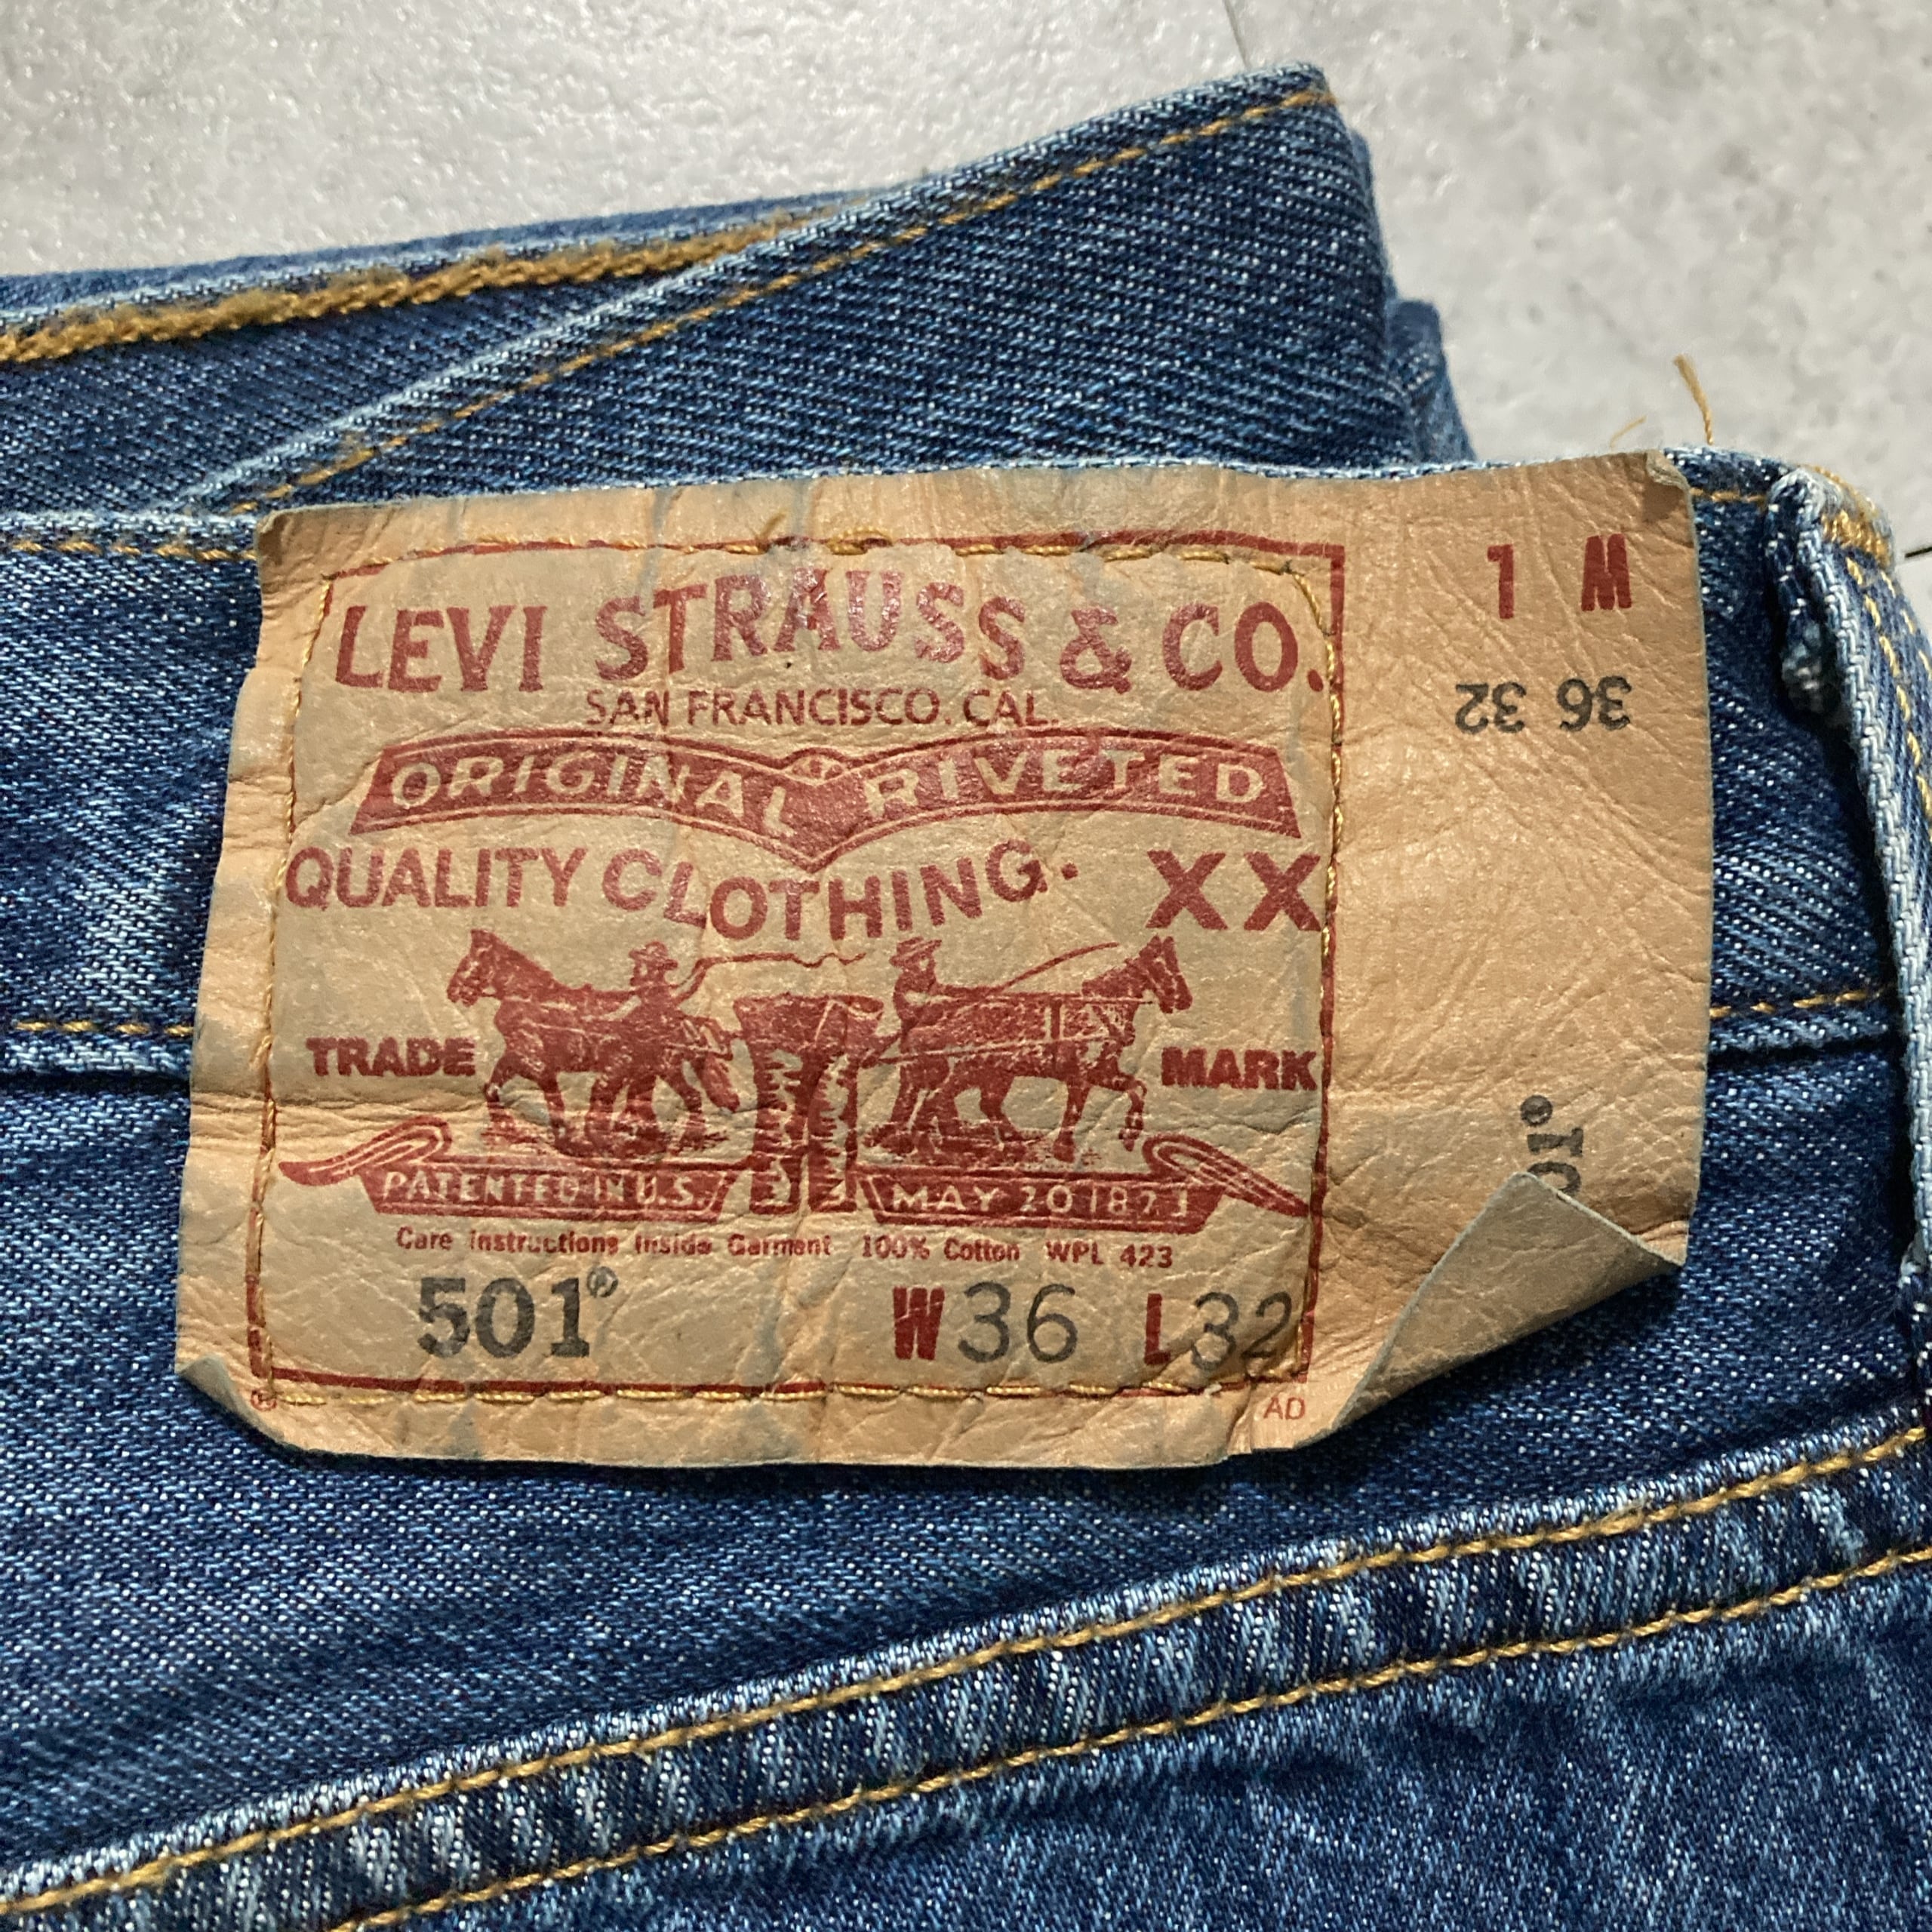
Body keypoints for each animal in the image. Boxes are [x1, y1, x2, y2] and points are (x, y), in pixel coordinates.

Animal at [445, 931, 738, 1156]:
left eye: (469, 962)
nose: (452, 991)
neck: (529, 1000)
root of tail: (679, 1018)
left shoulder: (538, 1064)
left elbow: (555, 1104)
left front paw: (568, 1141)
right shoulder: (516, 1056)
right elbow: (492, 1089)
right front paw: (506, 1131)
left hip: (660, 1068)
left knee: (686, 1097)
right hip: (652, 1070)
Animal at [874, 935, 1191, 1164]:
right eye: (1163, 966)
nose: (1184, 1000)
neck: (1100, 1010)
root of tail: (955, 1021)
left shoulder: (1103, 1072)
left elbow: (1138, 1088)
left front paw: (1129, 1134)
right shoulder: (1080, 1077)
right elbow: (1075, 1111)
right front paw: (1065, 1149)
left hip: (998, 1074)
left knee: (982, 1104)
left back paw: (1007, 1144)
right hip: (969, 1070)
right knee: (937, 1098)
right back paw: (934, 1147)